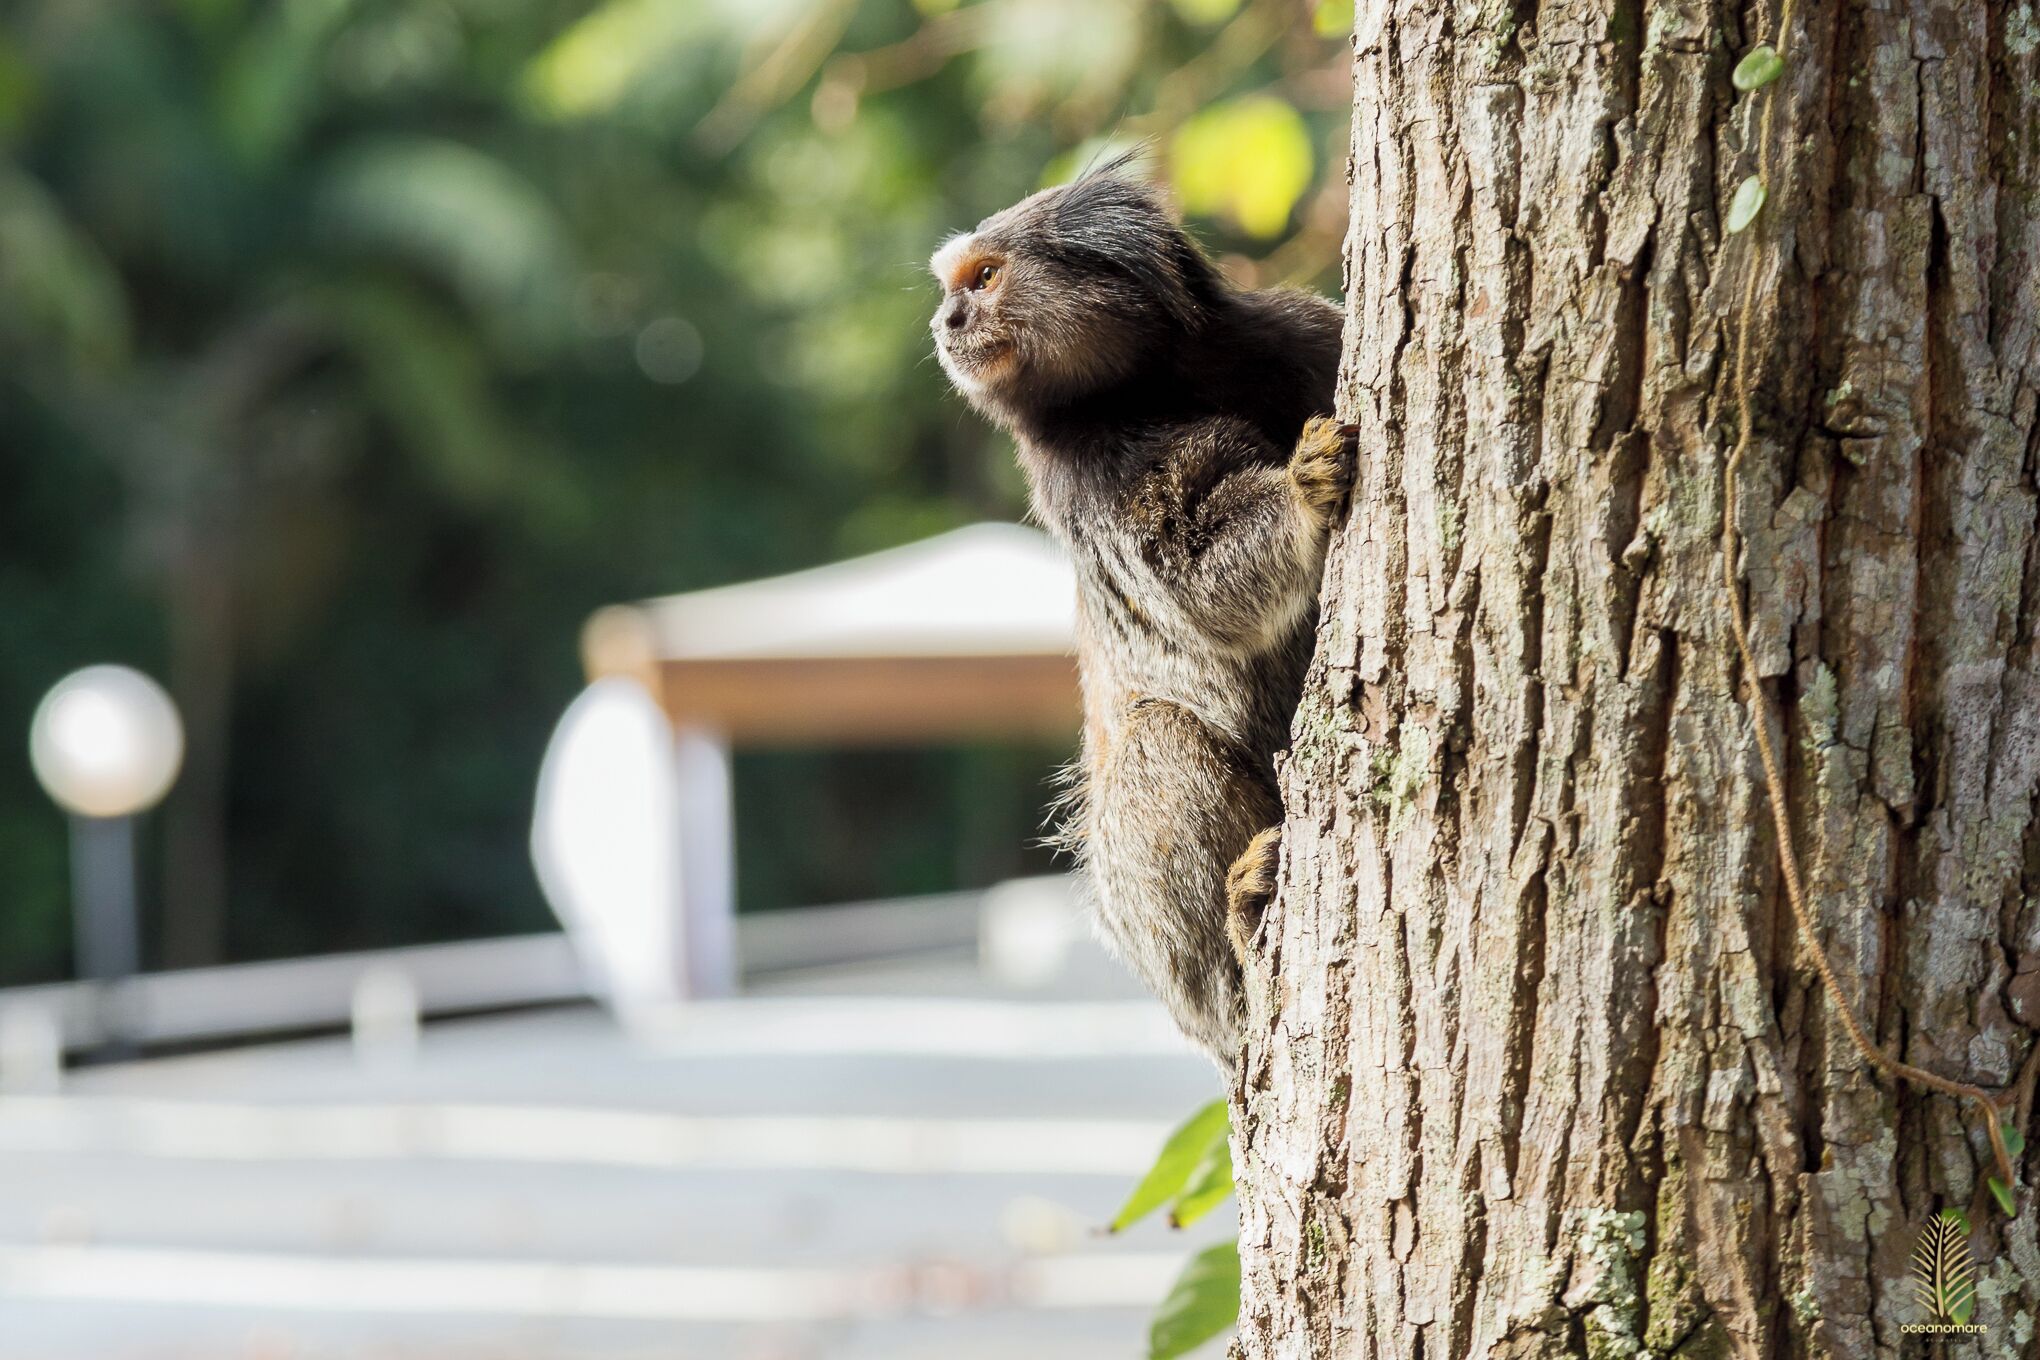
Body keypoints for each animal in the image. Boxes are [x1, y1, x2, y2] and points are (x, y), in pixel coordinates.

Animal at [929, 158, 1353, 1064]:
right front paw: (1302, 494)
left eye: (982, 279)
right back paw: (1241, 930)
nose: (947, 322)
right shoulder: (1086, 477)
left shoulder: (1302, 333)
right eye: (954, 289)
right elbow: (1200, 585)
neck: (1159, 382)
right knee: (1155, 748)